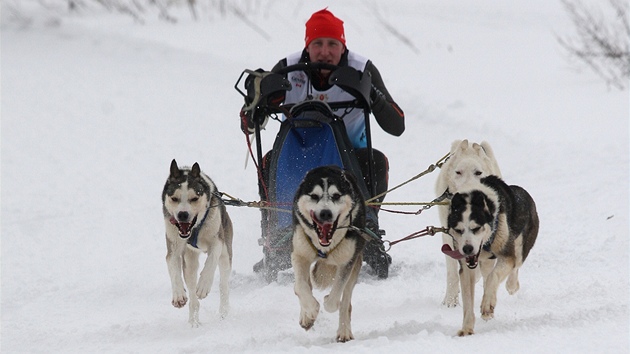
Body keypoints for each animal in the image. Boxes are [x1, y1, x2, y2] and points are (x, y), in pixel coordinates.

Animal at [162, 160, 233, 326]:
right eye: (174, 198)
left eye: (194, 198)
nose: (182, 214)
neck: (194, 229)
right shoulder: (173, 247)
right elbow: (173, 268)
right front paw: (178, 295)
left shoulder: (217, 241)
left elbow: (211, 262)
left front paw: (203, 285)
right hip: (189, 262)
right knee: (193, 296)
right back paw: (193, 321)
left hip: (226, 253)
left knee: (224, 285)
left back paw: (223, 312)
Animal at [292, 166, 368, 342]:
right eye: (314, 196)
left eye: (336, 196)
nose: (325, 213)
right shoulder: (300, 255)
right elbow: (300, 286)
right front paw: (311, 310)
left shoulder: (347, 262)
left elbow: (334, 300)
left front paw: (326, 302)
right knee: (305, 285)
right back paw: (306, 316)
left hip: (355, 264)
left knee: (346, 301)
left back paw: (344, 331)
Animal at [444, 176, 544, 336]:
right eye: (458, 230)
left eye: (476, 228)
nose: (467, 249)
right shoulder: (466, 268)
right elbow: (468, 301)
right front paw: (467, 328)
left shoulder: (507, 256)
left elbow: (494, 276)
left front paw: (487, 305)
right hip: (486, 262)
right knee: (487, 275)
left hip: (520, 246)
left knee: (514, 267)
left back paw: (511, 285)